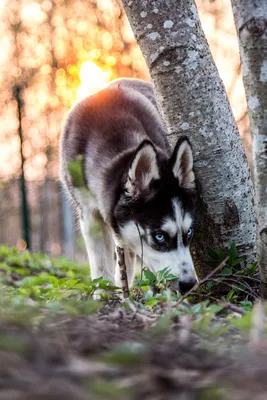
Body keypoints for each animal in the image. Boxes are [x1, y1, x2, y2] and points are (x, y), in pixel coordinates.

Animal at [60, 77, 199, 294]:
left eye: (190, 232)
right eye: (159, 236)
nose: (189, 284)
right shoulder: (89, 215)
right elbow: (101, 266)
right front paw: (104, 295)